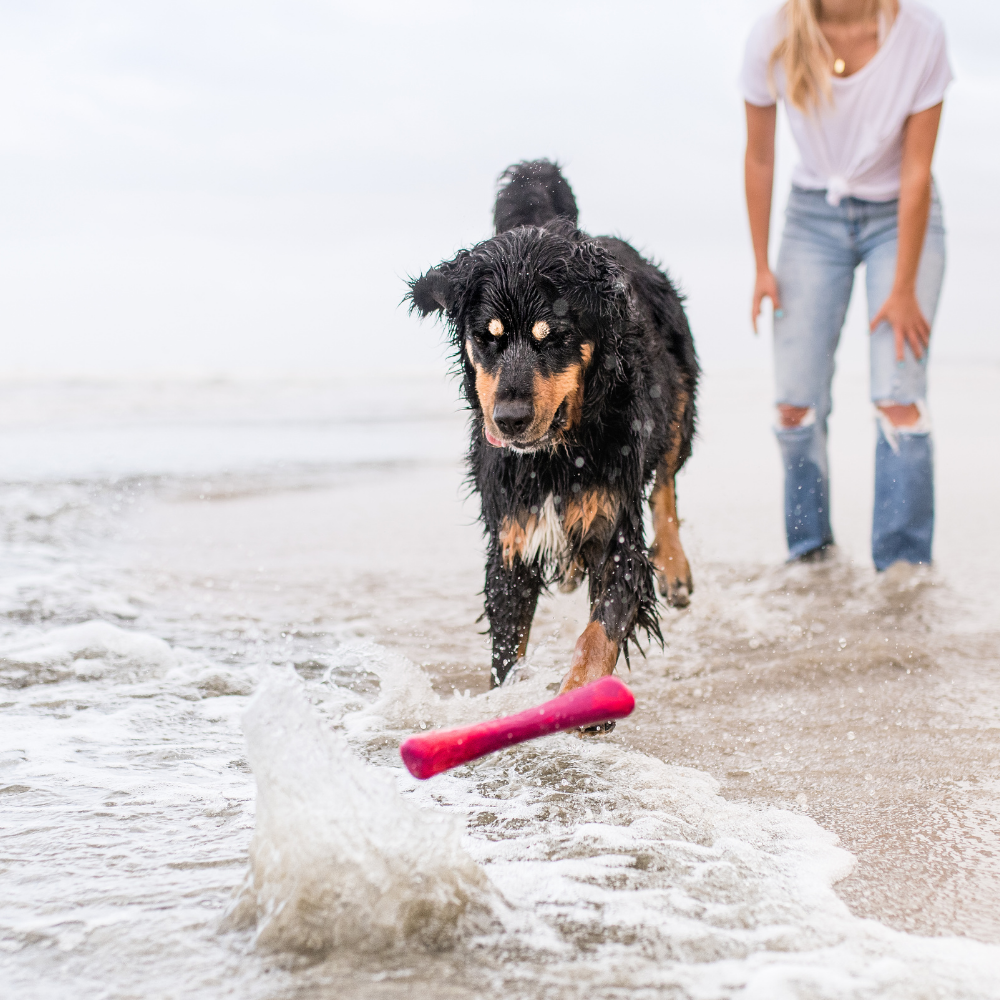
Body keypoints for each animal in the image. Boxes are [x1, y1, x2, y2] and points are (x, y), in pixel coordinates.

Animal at [406, 164, 696, 696]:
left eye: (553, 336)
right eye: (487, 337)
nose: (510, 419)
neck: (555, 455)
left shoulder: (615, 526)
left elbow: (599, 632)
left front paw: (578, 694)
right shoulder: (511, 537)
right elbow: (506, 648)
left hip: (679, 399)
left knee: (666, 476)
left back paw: (675, 565)